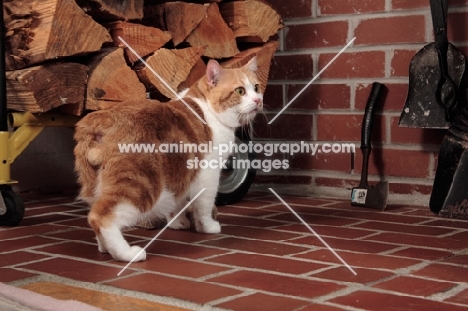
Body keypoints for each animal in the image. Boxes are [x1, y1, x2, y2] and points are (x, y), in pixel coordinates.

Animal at [75, 57, 262, 262]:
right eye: (240, 91)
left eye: (256, 87)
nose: (258, 100)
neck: (208, 109)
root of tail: (104, 117)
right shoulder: (208, 174)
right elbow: (204, 205)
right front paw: (208, 226)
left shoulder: (181, 172)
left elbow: (178, 200)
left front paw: (178, 222)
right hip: (140, 185)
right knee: (100, 217)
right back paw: (127, 253)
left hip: (96, 187)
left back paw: (104, 248)